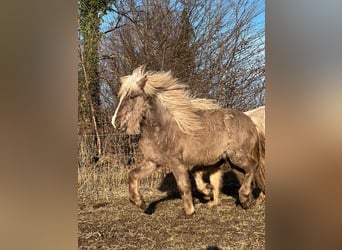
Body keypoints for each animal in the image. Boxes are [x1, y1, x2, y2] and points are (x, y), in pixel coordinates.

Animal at [112, 66, 264, 215]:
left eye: (132, 96)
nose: (116, 123)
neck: (162, 129)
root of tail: (250, 120)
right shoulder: (152, 162)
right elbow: (132, 175)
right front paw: (140, 202)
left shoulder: (176, 162)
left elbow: (183, 185)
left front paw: (189, 210)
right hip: (231, 161)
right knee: (244, 175)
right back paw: (246, 202)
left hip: (237, 157)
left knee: (253, 167)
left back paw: (245, 198)